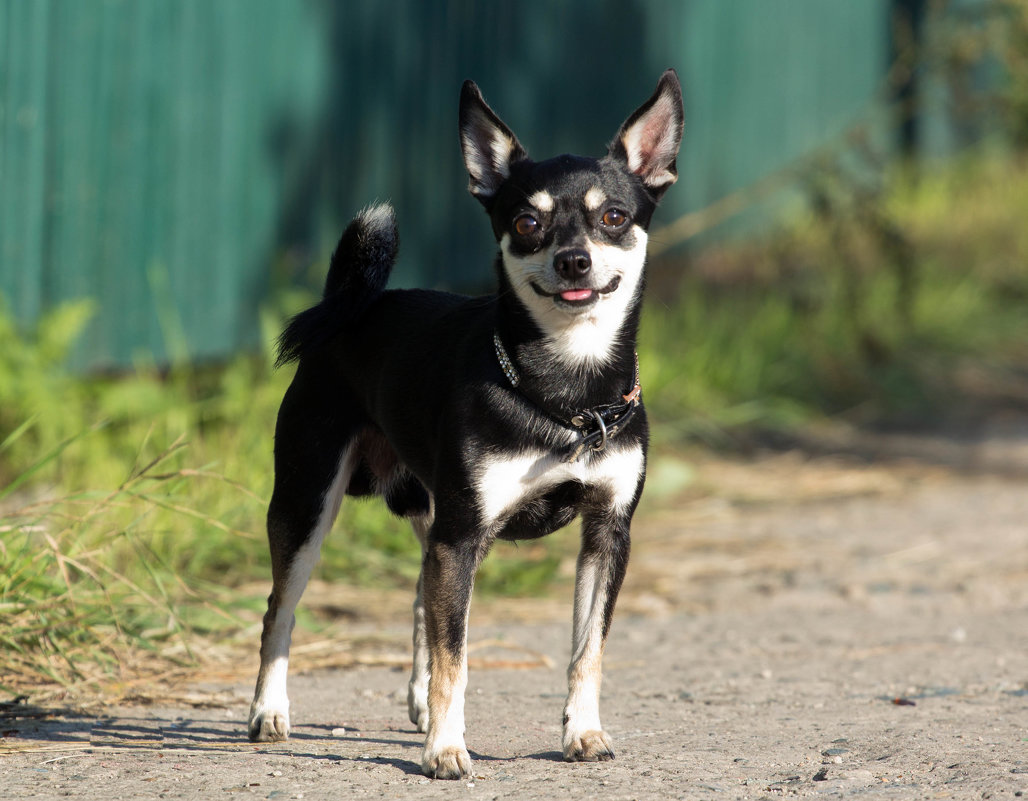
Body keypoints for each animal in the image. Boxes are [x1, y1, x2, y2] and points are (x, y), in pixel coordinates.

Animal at [247, 71, 682, 781]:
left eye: (615, 217)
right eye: (527, 222)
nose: (573, 260)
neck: (565, 391)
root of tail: (353, 306)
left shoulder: (605, 535)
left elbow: (585, 651)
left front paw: (582, 732)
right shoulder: (463, 537)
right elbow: (459, 656)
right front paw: (447, 749)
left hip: (429, 518)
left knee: (421, 600)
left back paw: (419, 703)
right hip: (308, 504)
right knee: (280, 611)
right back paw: (270, 712)